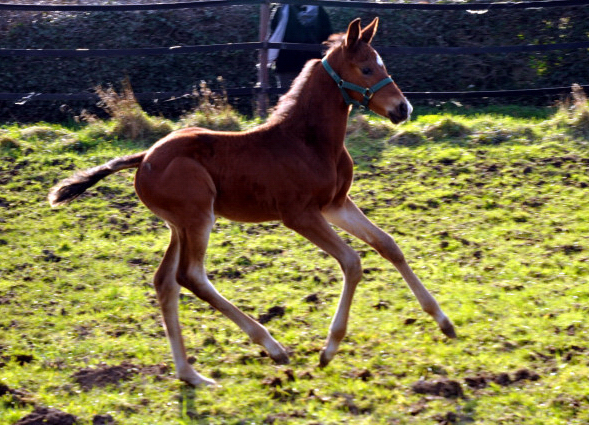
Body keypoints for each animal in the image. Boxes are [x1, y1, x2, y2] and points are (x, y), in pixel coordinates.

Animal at [49, 18, 454, 386]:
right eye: (367, 68)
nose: (403, 109)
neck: (307, 141)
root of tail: (145, 156)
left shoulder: (336, 204)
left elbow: (388, 245)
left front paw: (444, 322)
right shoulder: (299, 214)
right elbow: (353, 262)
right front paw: (329, 349)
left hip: (178, 225)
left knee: (165, 282)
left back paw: (192, 376)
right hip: (198, 217)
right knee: (190, 276)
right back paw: (271, 346)